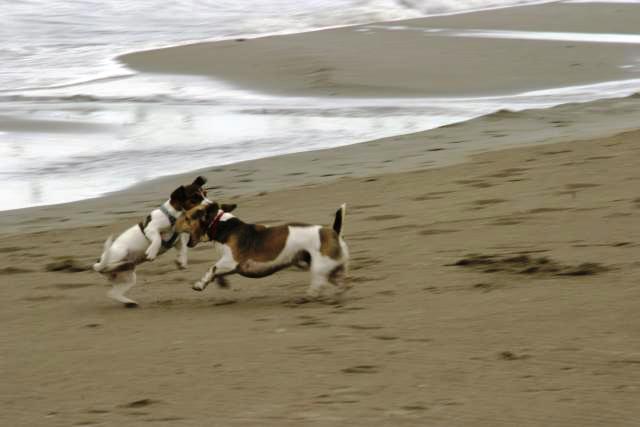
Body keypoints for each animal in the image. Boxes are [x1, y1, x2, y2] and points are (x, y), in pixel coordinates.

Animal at [94, 177, 208, 308]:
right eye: (195, 198)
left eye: (205, 194)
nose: (211, 205)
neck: (174, 216)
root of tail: (99, 263)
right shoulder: (151, 229)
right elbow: (157, 239)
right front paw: (152, 252)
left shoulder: (178, 240)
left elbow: (183, 250)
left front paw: (181, 262)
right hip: (120, 251)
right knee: (109, 265)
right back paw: (124, 263)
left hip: (128, 279)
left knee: (112, 293)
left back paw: (129, 301)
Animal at [176, 202, 350, 300]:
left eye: (187, 218)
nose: (174, 224)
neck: (221, 224)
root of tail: (334, 232)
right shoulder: (231, 266)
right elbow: (216, 273)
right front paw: (219, 282)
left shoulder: (230, 261)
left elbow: (212, 268)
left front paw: (200, 284)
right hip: (330, 267)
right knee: (340, 281)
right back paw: (339, 294)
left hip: (319, 266)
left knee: (319, 282)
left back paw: (310, 296)